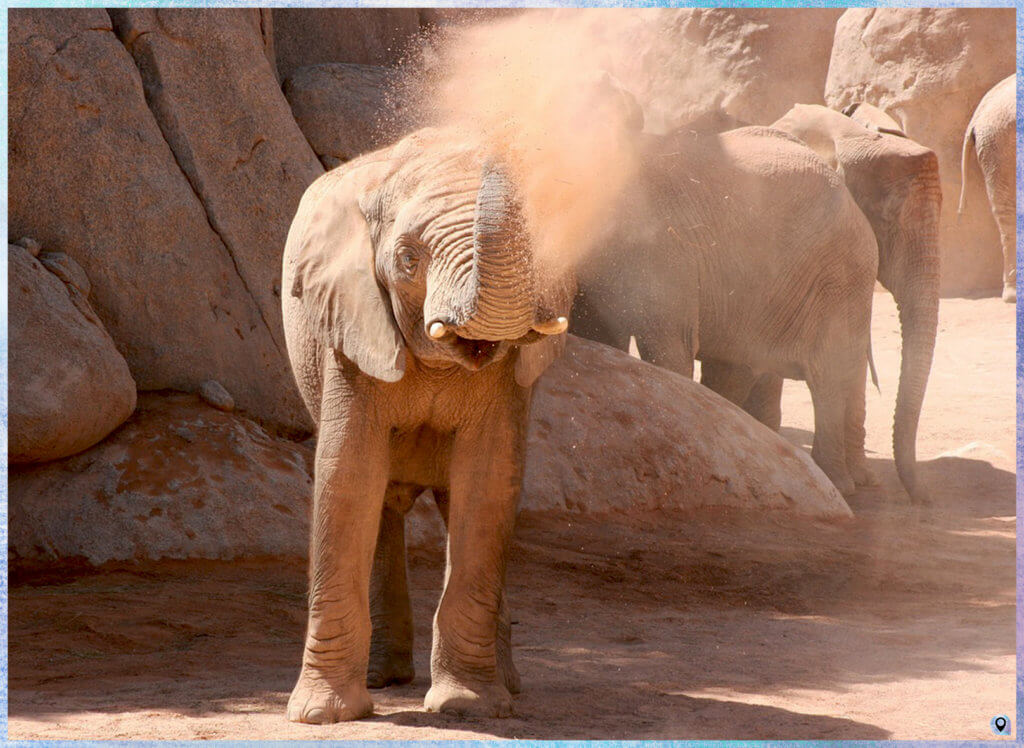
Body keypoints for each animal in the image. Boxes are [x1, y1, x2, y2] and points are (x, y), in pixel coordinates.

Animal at [280, 128, 573, 721]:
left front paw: (469, 707)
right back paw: (385, 679)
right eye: (407, 258)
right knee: (382, 504)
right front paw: (321, 715)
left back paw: (507, 686)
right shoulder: (351, 324)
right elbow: (347, 476)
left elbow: (488, 483)